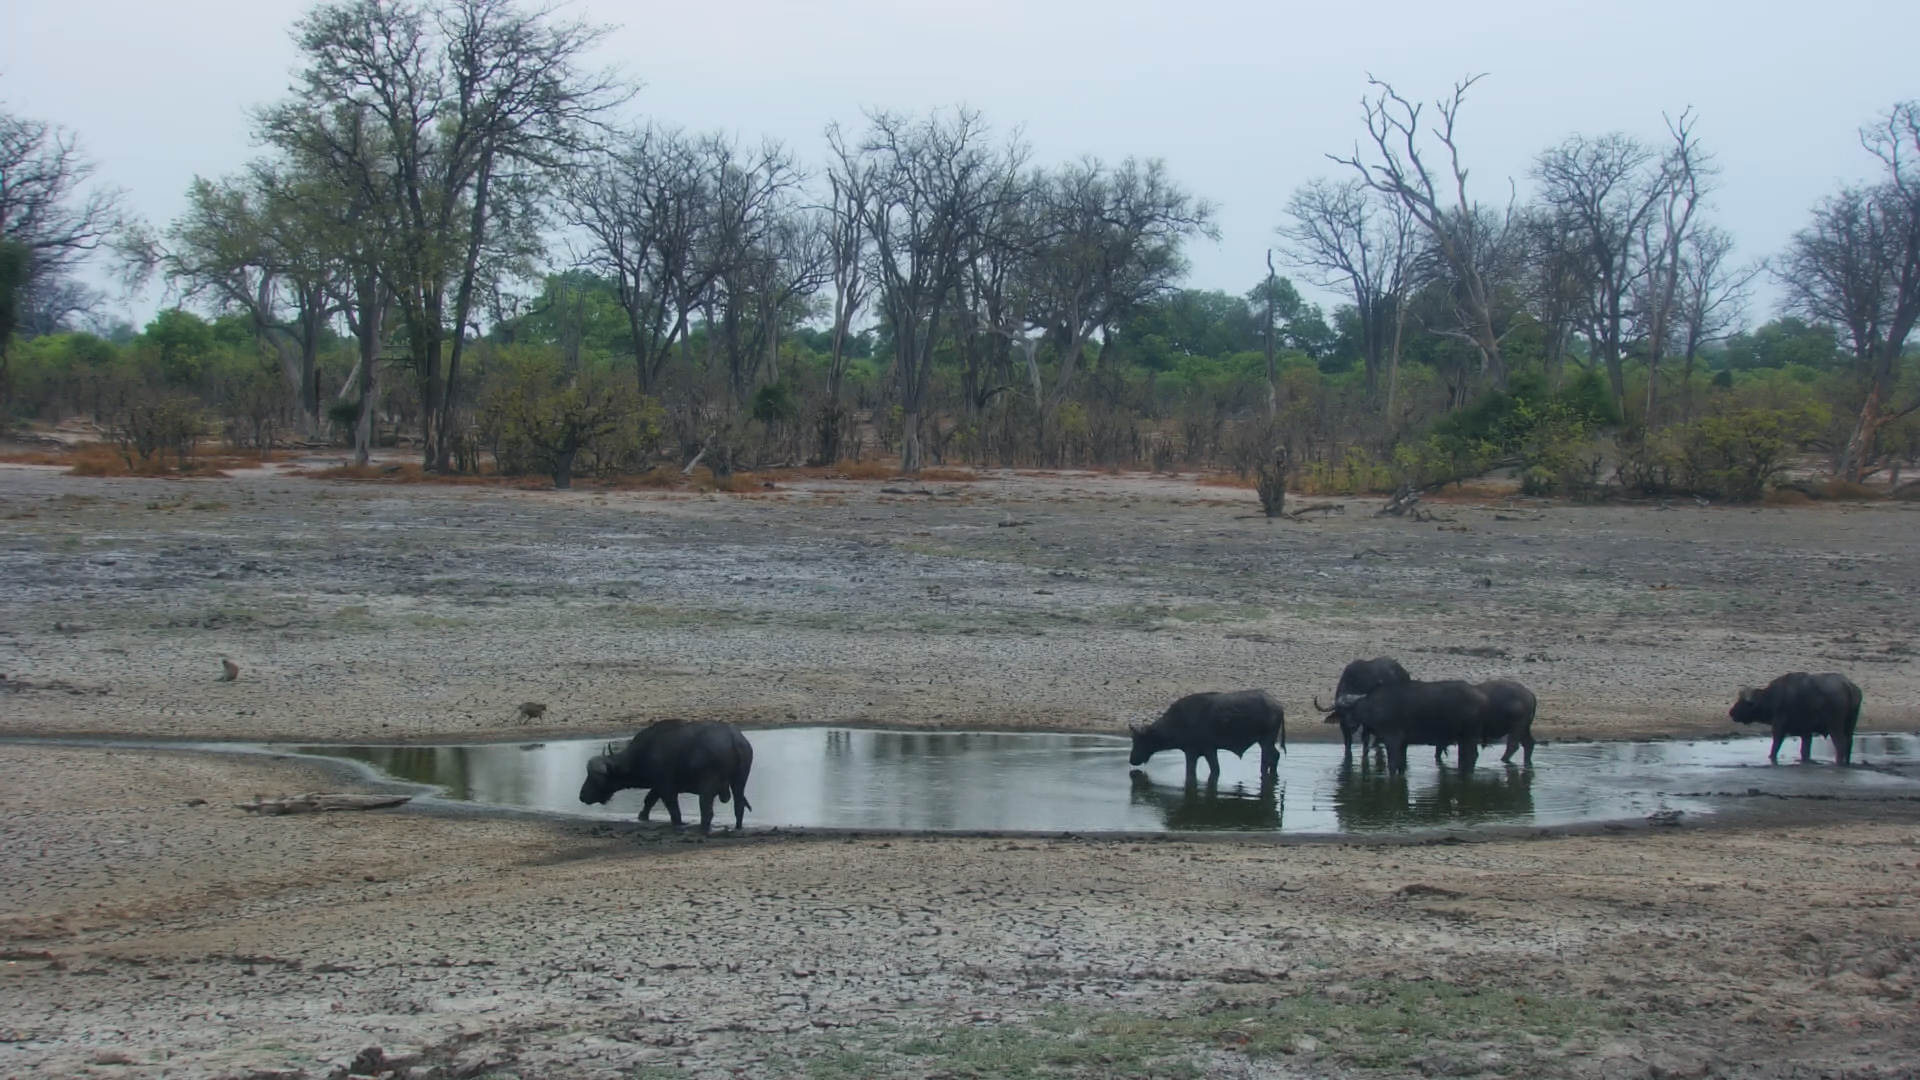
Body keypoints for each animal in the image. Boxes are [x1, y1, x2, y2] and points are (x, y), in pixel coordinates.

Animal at [580, 719, 755, 831]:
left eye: (594, 778)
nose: (581, 796)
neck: (646, 751)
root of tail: (734, 739)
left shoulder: (666, 788)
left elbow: (673, 810)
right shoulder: (657, 786)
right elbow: (649, 800)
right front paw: (642, 816)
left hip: (708, 787)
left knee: (707, 811)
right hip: (739, 782)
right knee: (739, 806)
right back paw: (738, 827)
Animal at [1128, 690, 1286, 783]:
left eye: (1137, 741)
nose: (1132, 759)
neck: (1174, 725)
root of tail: (1279, 706)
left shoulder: (1201, 750)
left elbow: (1204, 770)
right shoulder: (1201, 751)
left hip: (1266, 739)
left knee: (1268, 758)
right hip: (1266, 740)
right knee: (1275, 756)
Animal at [1325, 679, 1489, 775]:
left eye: (1353, 708)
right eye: (1341, 711)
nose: (1350, 724)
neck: (1374, 707)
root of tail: (1482, 698)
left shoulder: (1392, 740)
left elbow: (1392, 765)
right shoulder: (1403, 744)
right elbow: (1401, 765)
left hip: (1470, 735)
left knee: (1472, 756)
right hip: (1462, 737)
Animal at [1730, 672, 1863, 765]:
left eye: (1741, 702)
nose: (1731, 712)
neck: (1772, 698)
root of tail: (1847, 685)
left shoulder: (1779, 726)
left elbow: (1776, 745)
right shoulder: (1806, 732)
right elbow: (1805, 751)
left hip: (1834, 727)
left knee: (1840, 745)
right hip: (1850, 727)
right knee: (1849, 743)